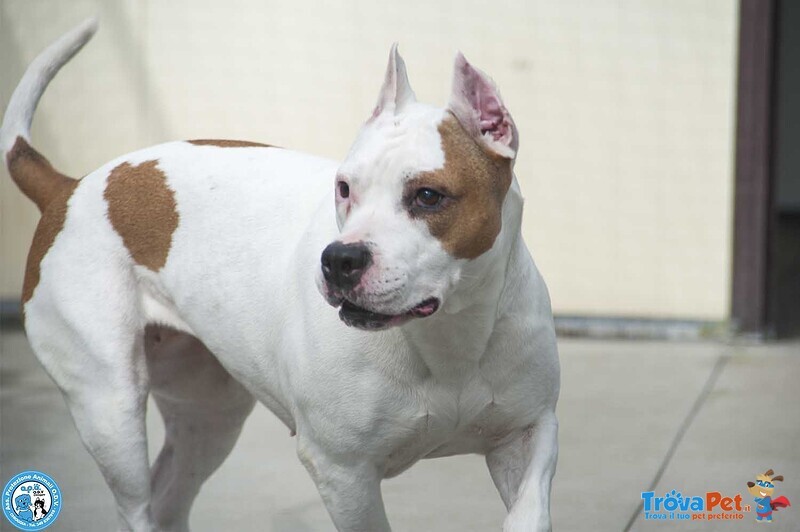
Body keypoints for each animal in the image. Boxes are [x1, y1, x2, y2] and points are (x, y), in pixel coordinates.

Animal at [3, 18, 560, 528]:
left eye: (428, 196)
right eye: (344, 188)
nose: (339, 260)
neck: (450, 334)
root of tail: (69, 187)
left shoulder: (527, 438)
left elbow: (528, 512)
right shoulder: (343, 472)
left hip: (210, 413)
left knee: (170, 496)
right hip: (110, 410)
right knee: (138, 502)